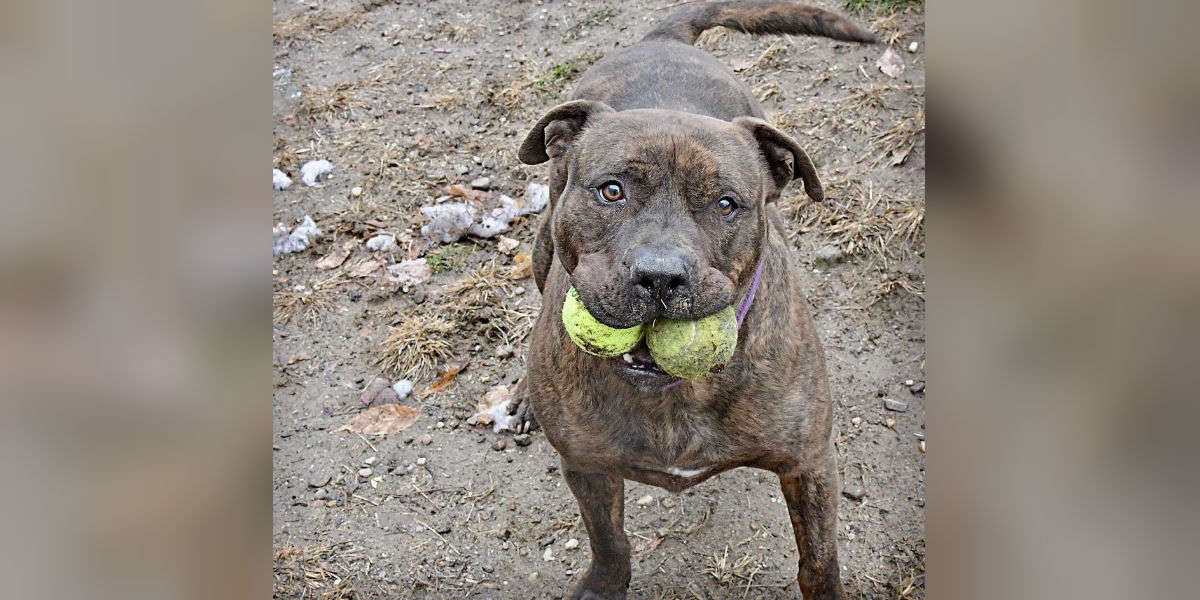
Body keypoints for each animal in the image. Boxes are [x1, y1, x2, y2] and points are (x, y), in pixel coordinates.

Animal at [513, 2, 873, 597]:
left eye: (726, 203)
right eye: (612, 190)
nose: (660, 276)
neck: (675, 392)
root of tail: (663, 39)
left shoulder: (810, 464)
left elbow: (819, 561)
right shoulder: (587, 465)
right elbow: (607, 538)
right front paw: (603, 584)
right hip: (544, 244)